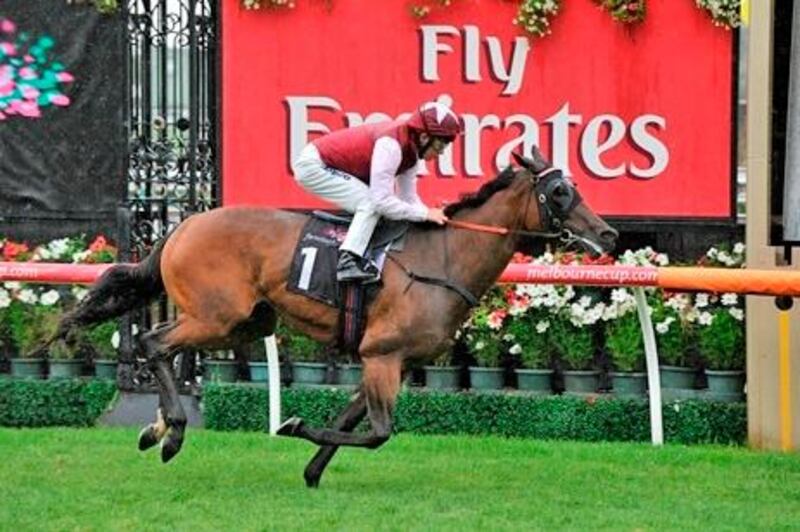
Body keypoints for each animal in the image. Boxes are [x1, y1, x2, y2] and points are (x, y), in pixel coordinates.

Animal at [50, 149, 616, 486]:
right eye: (559, 192)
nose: (608, 234)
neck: (443, 259)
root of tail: (182, 224)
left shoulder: (395, 361)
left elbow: (350, 420)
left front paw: (311, 469)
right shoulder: (382, 353)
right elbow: (378, 432)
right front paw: (295, 426)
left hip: (248, 321)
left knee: (167, 346)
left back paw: (156, 428)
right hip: (218, 316)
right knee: (154, 342)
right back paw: (172, 432)